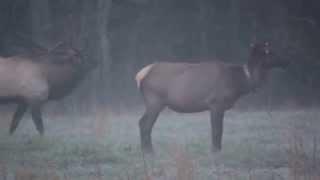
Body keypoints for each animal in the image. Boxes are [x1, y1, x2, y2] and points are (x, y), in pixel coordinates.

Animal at [136, 41, 288, 153]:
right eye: (270, 52)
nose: (286, 61)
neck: (239, 82)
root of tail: (140, 75)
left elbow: (218, 130)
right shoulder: (216, 103)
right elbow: (217, 130)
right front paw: (215, 150)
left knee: (143, 122)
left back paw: (146, 150)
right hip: (154, 100)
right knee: (144, 123)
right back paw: (148, 151)